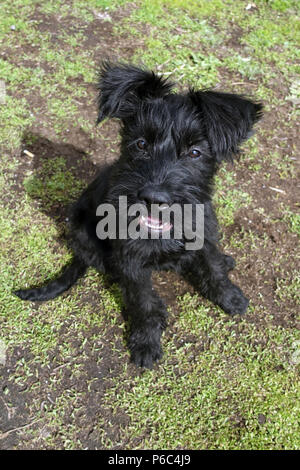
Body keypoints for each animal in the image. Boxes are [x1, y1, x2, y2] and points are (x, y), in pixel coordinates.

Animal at [14, 62, 262, 370]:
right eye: (141, 144)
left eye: (194, 152)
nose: (154, 198)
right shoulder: (131, 260)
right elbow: (143, 302)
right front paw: (146, 341)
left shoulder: (203, 233)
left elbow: (213, 268)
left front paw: (230, 297)